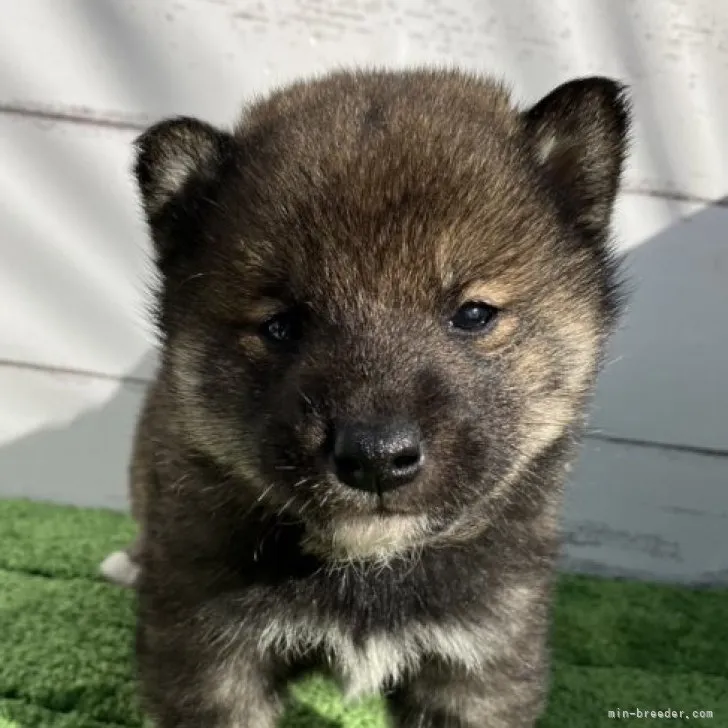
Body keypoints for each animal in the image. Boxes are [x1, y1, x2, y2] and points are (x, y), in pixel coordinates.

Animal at [104, 65, 632, 724]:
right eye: (281, 326)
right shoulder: (210, 653)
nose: (376, 458)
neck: (369, 572)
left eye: (474, 314)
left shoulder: (483, 659)